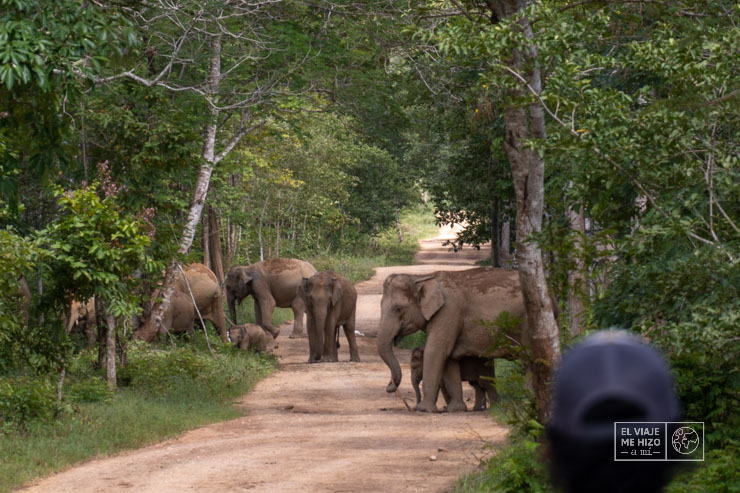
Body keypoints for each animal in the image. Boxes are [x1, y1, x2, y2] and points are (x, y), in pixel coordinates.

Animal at [377, 267, 527, 413]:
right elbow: (449, 357)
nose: (389, 386)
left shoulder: (448, 311)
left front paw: (424, 409)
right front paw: (455, 409)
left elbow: (436, 351)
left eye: (398, 308)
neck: (421, 277)